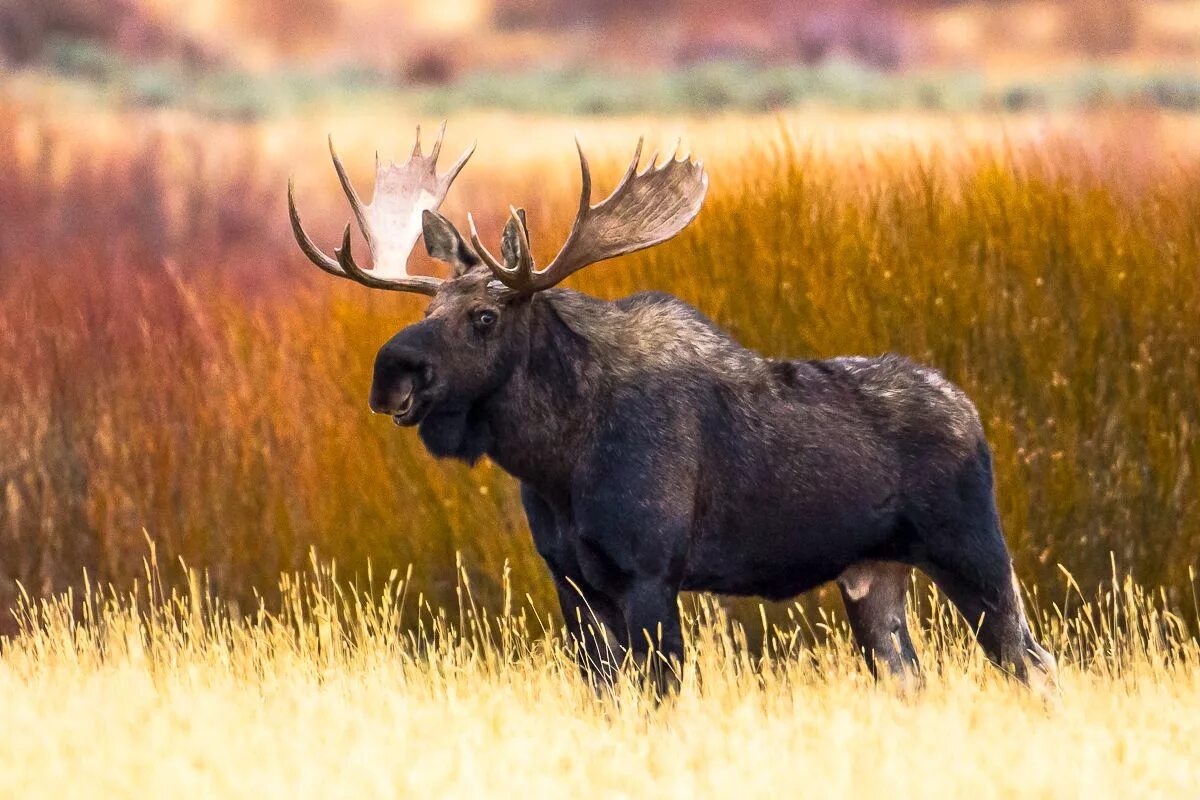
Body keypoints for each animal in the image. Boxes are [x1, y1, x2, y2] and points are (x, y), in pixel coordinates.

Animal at [285, 125, 1056, 695]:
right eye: (428, 309)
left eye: (482, 316)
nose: (391, 374)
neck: (557, 460)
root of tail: (974, 416)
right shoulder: (572, 582)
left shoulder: (651, 573)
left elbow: (661, 690)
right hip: (874, 576)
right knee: (913, 676)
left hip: (973, 551)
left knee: (1034, 662)